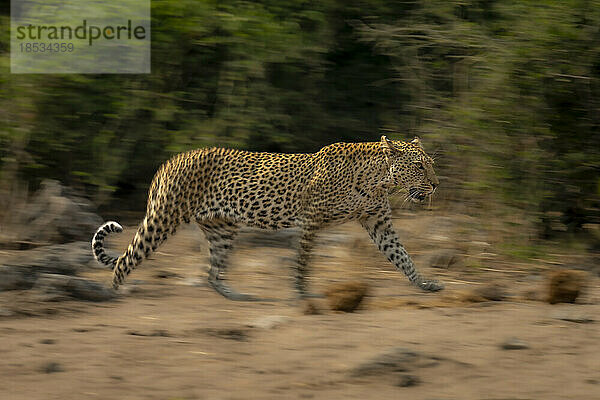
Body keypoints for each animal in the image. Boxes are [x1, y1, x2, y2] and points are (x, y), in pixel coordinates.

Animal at [91, 135, 442, 300]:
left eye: (430, 165)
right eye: (419, 166)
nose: (436, 184)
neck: (378, 180)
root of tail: (169, 161)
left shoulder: (378, 223)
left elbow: (402, 256)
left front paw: (424, 283)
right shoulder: (310, 221)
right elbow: (302, 262)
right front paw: (301, 294)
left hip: (222, 228)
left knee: (211, 272)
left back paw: (236, 295)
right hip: (164, 217)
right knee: (127, 259)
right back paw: (115, 293)